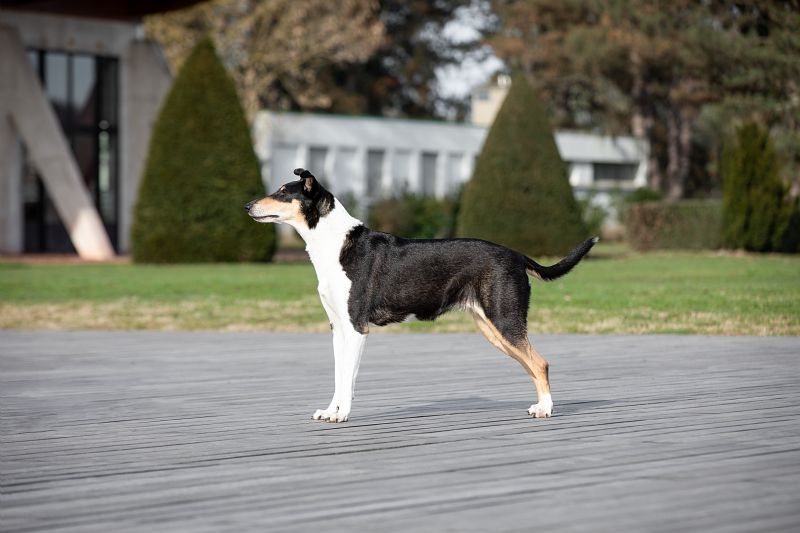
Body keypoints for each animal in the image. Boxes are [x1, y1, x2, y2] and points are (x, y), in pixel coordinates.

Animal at [247, 168, 596, 422]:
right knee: (531, 364)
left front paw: (341, 414)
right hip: (493, 328)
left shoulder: (356, 327)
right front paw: (331, 410)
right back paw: (540, 406)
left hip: (505, 320)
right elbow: (339, 375)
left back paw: (546, 409)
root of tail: (517, 254)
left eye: (283, 191)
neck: (335, 245)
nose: (247, 206)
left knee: (540, 363)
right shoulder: (338, 329)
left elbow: (347, 376)